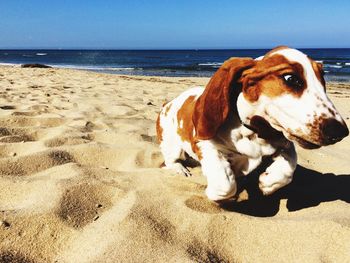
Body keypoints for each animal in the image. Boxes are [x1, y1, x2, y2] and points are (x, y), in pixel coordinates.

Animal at [157, 46, 348, 202]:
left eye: (323, 80)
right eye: (290, 78)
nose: (340, 132)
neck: (254, 133)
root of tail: (168, 103)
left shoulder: (283, 143)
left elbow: (290, 164)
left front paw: (269, 182)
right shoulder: (205, 145)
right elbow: (226, 185)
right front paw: (213, 192)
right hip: (171, 146)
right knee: (171, 160)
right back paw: (180, 169)